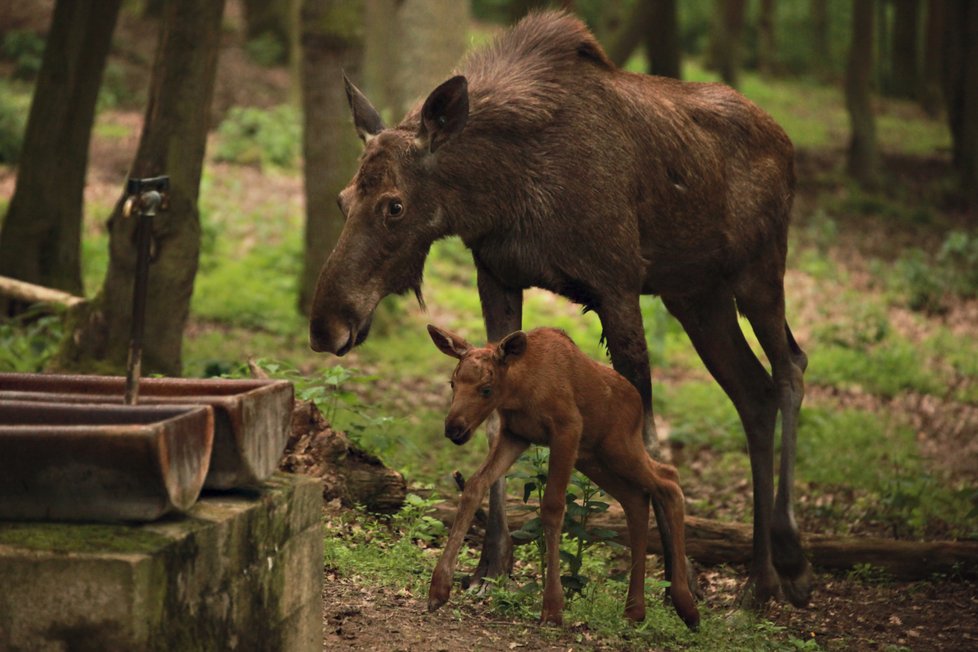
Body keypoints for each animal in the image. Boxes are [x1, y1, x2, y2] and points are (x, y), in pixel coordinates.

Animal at [426, 324, 692, 628]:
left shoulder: (567, 429)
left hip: (618, 447)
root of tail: (638, 402)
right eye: (453, 383)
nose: (453, 429)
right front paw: (438, 589)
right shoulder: (515, 434)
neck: (521, 392)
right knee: (636, 497)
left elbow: (553, 506)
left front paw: (553, 608)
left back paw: (686, 606)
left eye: (486, 389)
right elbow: (474, 485)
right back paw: (635, 609)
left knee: (668, 479)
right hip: (593, 459)